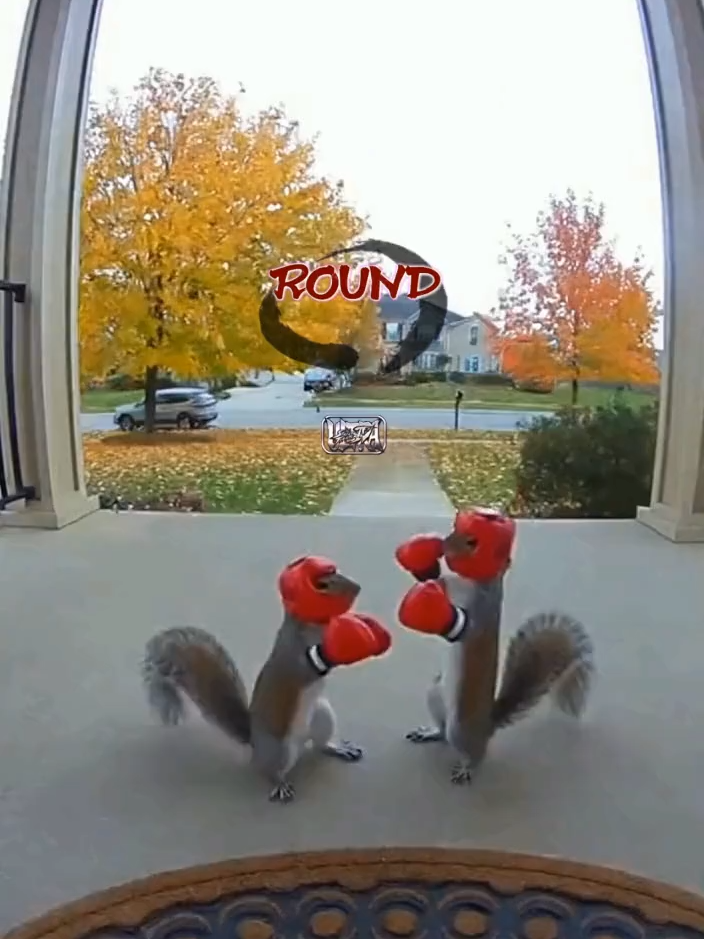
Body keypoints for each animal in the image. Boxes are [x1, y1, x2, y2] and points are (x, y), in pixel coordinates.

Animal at [142, 555, 392, 803]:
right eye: (321, 585)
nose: (357, 588)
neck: (317, 624)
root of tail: (255, 744)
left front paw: (369, 628)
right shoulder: (294, 653)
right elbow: (310, 665)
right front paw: (349, 641)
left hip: (322, 716)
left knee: (321, 744)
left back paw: (338, 748)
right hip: (281, 750)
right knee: (270, 770)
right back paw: (280, 784)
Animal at [395, 508, 594, 785]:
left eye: (473, 542)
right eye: (454, 528)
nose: (443, 544)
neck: (466, 580)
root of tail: (486, 726)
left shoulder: (481, 609)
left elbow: (462, 626)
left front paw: (431, 605)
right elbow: (439, 580)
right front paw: (420, 559)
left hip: (461, 728)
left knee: (474, 752)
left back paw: (467, 768)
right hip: (435, 695)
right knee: (443, 731)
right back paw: (430, 733)